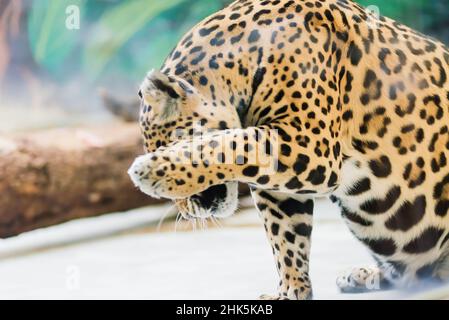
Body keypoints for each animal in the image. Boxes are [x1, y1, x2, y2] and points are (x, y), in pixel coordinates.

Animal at [128, 0, 448, 300]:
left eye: (162, 146)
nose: (186, 212)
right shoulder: (279, 182)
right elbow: (285, 237)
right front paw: (290, 292)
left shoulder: (308, 143)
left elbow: (228, 141)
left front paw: (150, 171)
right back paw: (362, 274)